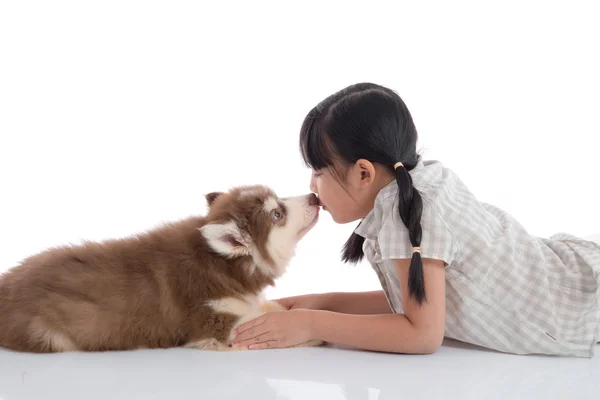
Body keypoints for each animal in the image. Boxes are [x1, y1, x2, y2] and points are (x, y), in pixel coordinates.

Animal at [0, 184, 324, 354]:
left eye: (278, 200)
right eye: (277, 214)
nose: (314, 196)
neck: (224, 263)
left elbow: (272, 308)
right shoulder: (215, 325)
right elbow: (270, 321)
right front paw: (308, 330)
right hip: (49, 335)